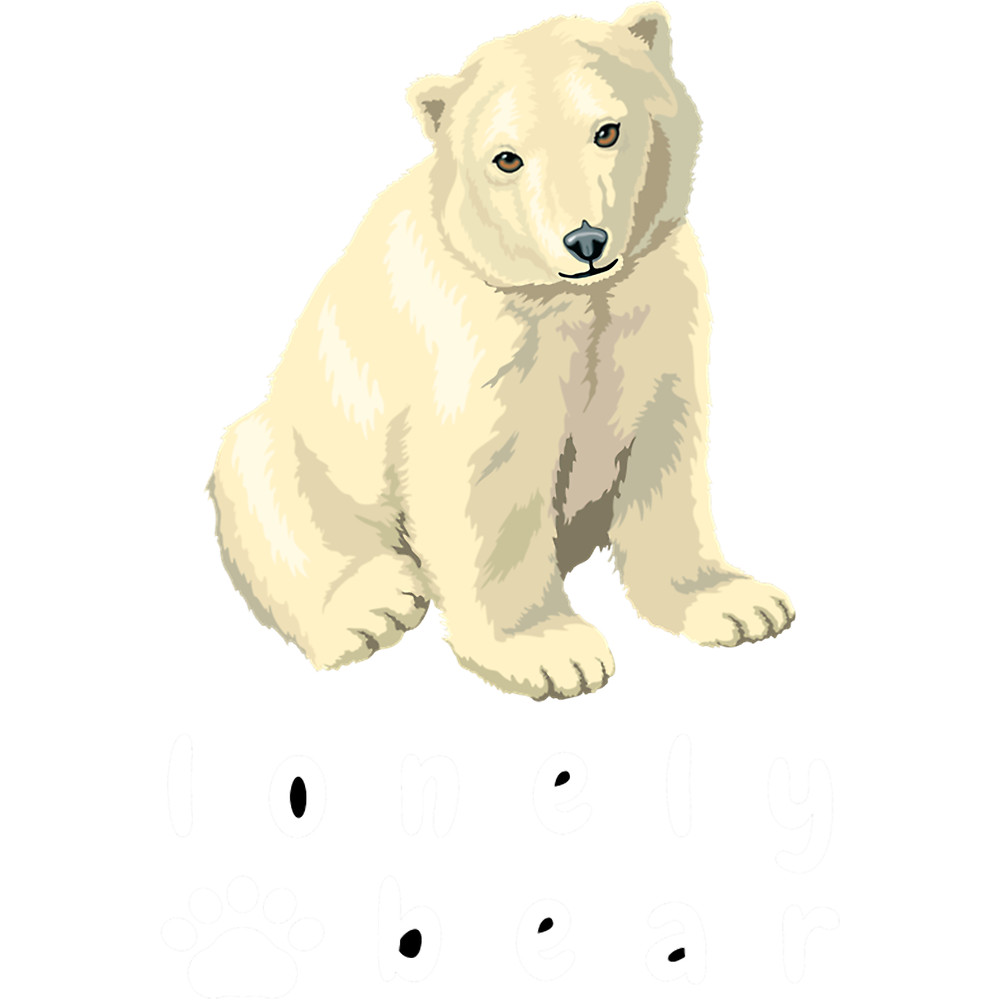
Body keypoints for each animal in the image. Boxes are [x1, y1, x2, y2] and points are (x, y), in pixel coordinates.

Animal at [208, 3, 794, 699]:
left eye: (607, 130)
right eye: (507, 158)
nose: (586, 240)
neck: (575, 298)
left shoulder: (656, 303)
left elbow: (665, 448)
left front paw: (738, 604)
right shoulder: (482, 337)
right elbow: (488, 479)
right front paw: (554, 651)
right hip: (310, 441)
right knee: (262, 471)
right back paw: (371, 607)